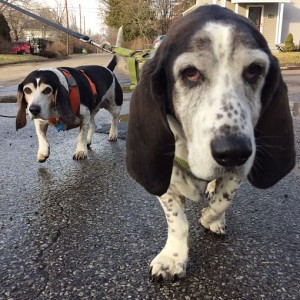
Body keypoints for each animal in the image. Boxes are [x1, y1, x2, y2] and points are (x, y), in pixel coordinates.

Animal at [126, 5, 296, 280]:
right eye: (190, 73)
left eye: (254, 70)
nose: (234, 152)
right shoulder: (166, 180)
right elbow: (177, 220)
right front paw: (173, 258)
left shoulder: (238, 172)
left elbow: (221, 200)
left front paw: (211, 218)